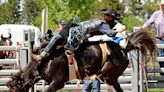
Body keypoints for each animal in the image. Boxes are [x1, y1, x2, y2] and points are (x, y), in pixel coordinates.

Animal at [6, 30, 156, 91]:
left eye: (14, 89)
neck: (44, 61)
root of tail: (124, 49)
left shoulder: (58, 82)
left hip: (108, 76)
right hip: (109, 78)